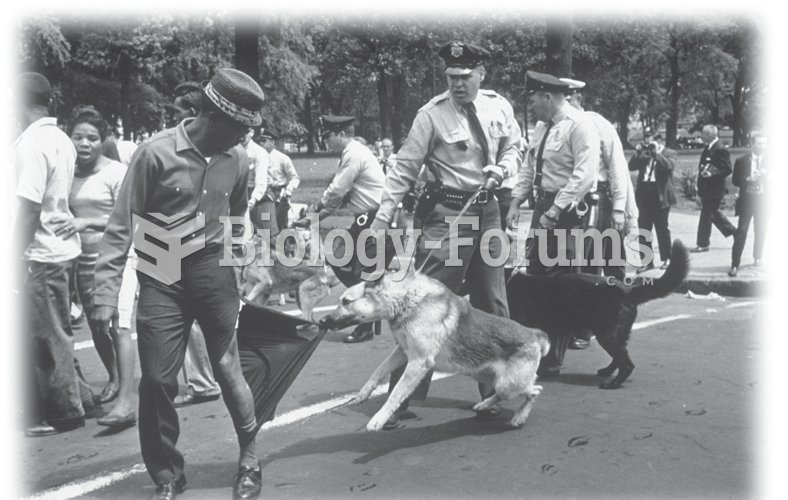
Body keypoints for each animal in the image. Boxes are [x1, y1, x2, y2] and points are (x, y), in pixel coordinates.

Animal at [318, 268, 548, 432]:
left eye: (346, 301)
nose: (321, 321)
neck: (406, 301)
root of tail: (535, 334)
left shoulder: (418, 362)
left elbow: (396, 393)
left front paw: (379, 419)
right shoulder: (403, 351)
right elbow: (379, 371)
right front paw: (364, 393)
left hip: (509, 384)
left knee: (535, 390)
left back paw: (519, 417)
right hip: (486, 377)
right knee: (500, 394)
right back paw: (484, 405)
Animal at [508, 239, 688, 390]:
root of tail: (628, 290)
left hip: (606, 334)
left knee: (627, 364)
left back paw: (612, 384)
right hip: (614, 334)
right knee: (620, 357)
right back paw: (607, 372)